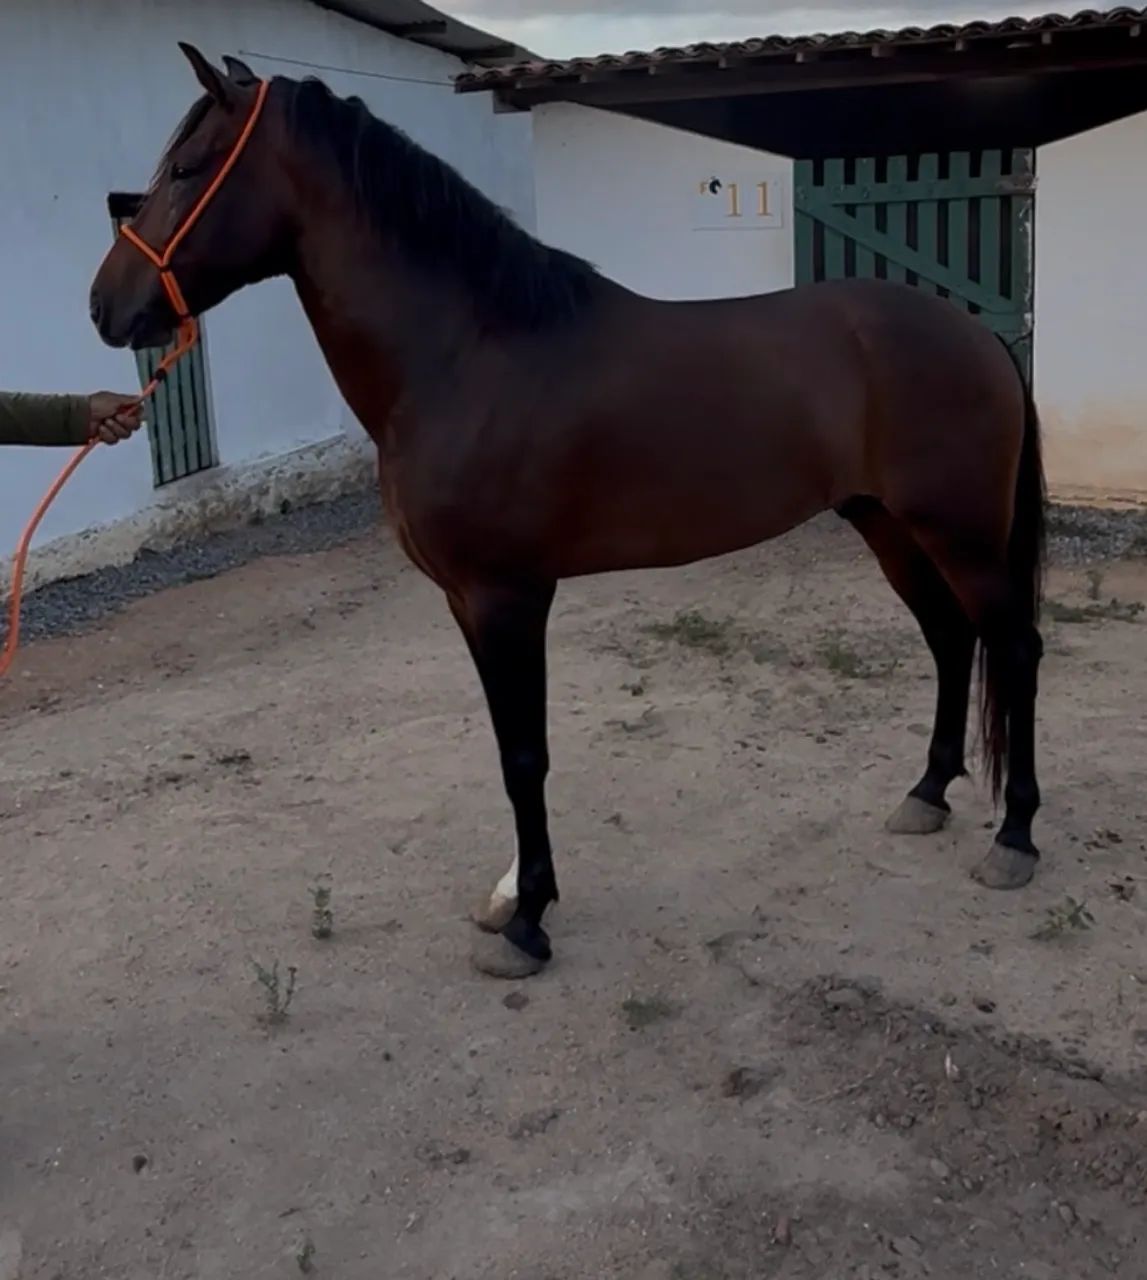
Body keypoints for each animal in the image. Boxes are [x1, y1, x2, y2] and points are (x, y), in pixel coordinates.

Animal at [90, 44, 1047, 979]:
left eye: (187, 166)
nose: (105, 305)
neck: (467, 354)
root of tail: (977, 333)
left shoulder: (508, 595)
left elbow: (525, 756)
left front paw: (527, 925)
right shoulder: (465, 600)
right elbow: (510, 748)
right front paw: (517, 898)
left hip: (956, 532)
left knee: (1012, 647)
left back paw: (1014, 837)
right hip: (886, 524)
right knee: (949, 639)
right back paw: (926, 794)